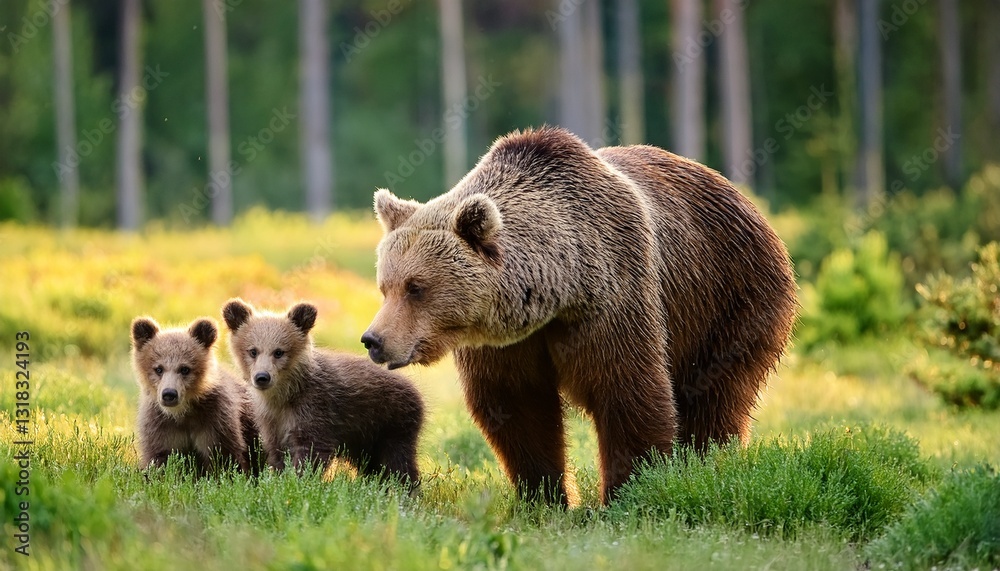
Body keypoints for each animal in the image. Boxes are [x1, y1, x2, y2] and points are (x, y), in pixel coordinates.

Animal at [131, 316, 260, 475]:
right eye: (158, 369)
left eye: (185, 369)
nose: (169, 394)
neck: (183, 413)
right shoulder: (161, 425)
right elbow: (159, 459)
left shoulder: (215, 421)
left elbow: (223, 458)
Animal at [222, 298, 424, 485]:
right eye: (253, 351)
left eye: (279, 352)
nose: (262, 377)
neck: (286, 396)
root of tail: (413, 388)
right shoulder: (271, 422)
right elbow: (277, 454)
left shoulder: (316, 410)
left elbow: (311, 453)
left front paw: (297, 482)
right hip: (366, 438)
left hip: (392, 425)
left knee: (398, 463)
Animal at [361, 126, 797, 505]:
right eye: (385, 285)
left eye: (416, 287)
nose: (373, 340)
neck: (558, 292)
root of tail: (743, 199)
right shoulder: (504, 342)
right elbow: (517, 406)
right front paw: (545, 496)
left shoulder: (613, 298)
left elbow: (627, 390)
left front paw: (627, 492)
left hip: (730, 297)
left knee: (715, 395)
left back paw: (705, 464)